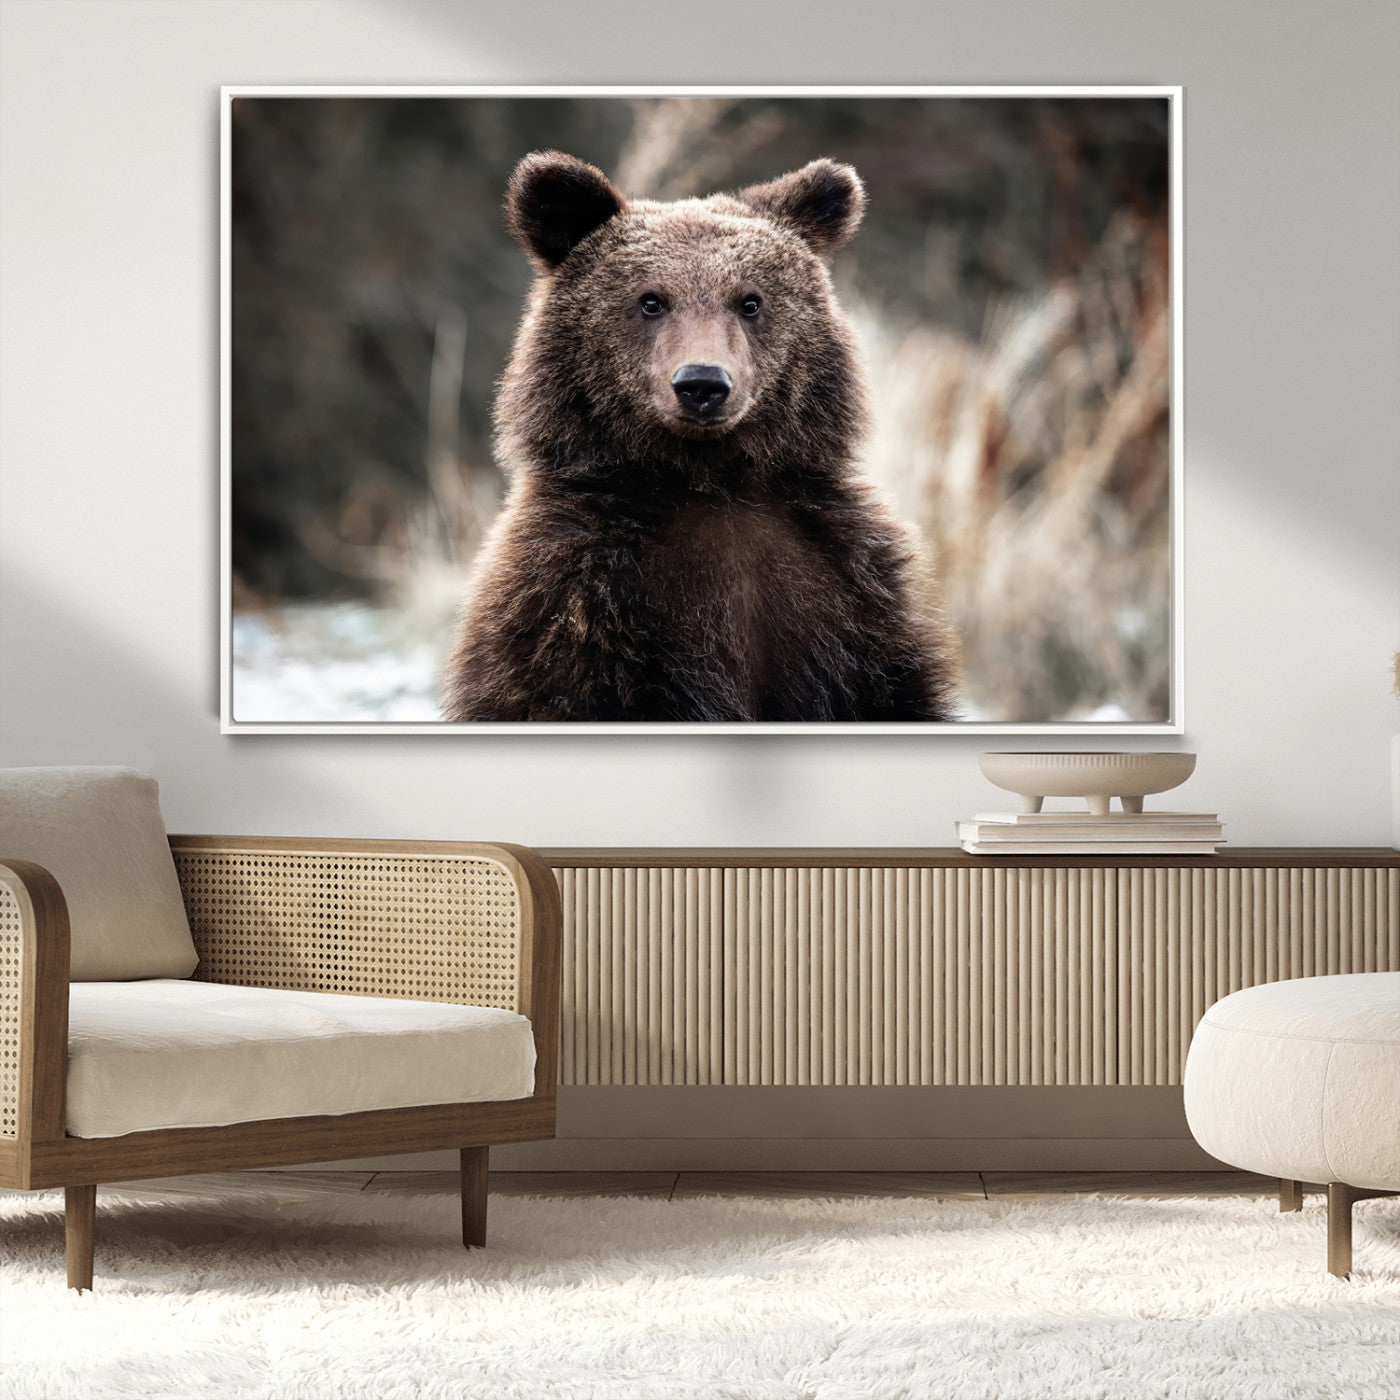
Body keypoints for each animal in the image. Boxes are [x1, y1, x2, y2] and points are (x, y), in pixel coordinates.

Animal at [442, 150, 958, 723]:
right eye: (650, 300)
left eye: (750, 301)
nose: (702, 384)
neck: (709, 481)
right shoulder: (574, 602)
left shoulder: (849, 596)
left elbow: (891, 689)